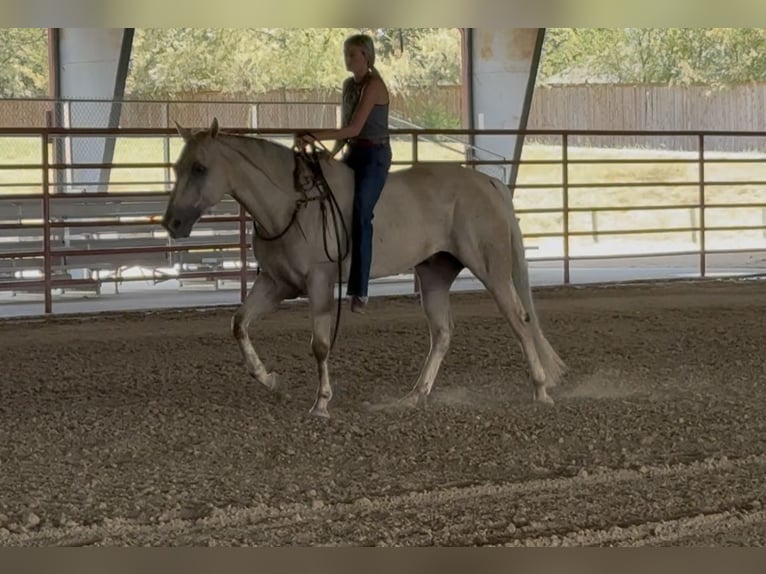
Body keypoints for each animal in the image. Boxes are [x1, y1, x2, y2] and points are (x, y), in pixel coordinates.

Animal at [161, 118, 566, 418]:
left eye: (200, 167)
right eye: (178, 167)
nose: (172, 223)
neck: (292, 204)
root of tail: (488, 182)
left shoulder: (320, 282)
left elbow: (320, 345)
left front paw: (321, 403)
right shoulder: (276, 284)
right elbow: (239, 323)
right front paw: (271, 380)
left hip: (491, 269)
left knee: (520, 321)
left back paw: (541, 390)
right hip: (434, 274)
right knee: (442, 333)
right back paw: (415, 396)